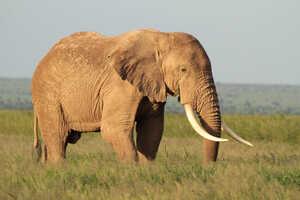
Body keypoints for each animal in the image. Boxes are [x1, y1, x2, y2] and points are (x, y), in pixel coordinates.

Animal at [31, 28, 253, 163]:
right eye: (183, 70)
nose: (208, 168)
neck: (162, 38)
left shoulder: (154, 85)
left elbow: (152, 131)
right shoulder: (119, 86)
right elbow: (114, 130)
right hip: (47, 95)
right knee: (58, 138)